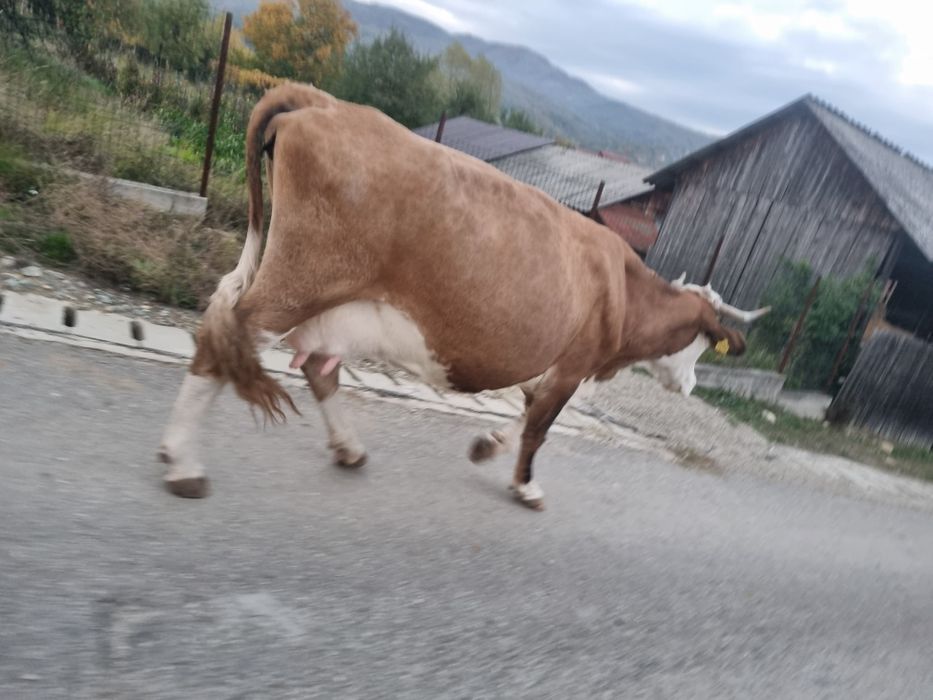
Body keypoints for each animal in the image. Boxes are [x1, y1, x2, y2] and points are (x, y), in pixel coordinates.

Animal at [157, 83, 768, 510]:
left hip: (330, 298)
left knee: (307, 362)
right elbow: (540, 427)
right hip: (300, 279)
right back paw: (183, 464)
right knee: (226, 335)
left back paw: (346, 448)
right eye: (703, 340)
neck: (625, 288)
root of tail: (324, 102)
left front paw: (487, 446)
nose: (691, 386)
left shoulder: (551, 368)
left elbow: (526, 415)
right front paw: (525, 487)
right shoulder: (575, 363)